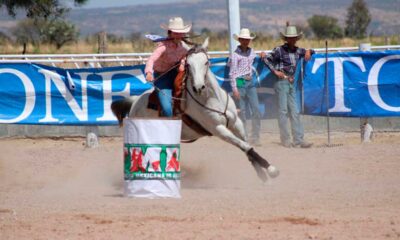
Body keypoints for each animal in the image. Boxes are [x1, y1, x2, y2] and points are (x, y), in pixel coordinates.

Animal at [109, 37, 278, 182]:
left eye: (206, 62)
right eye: (188, 64)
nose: (198, 87)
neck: (212, 99)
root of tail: (135, 102)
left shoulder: (236, 123)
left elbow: (247, 146)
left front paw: (262, 175)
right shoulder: (218, 130)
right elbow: (246, 147)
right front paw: (272, 170)